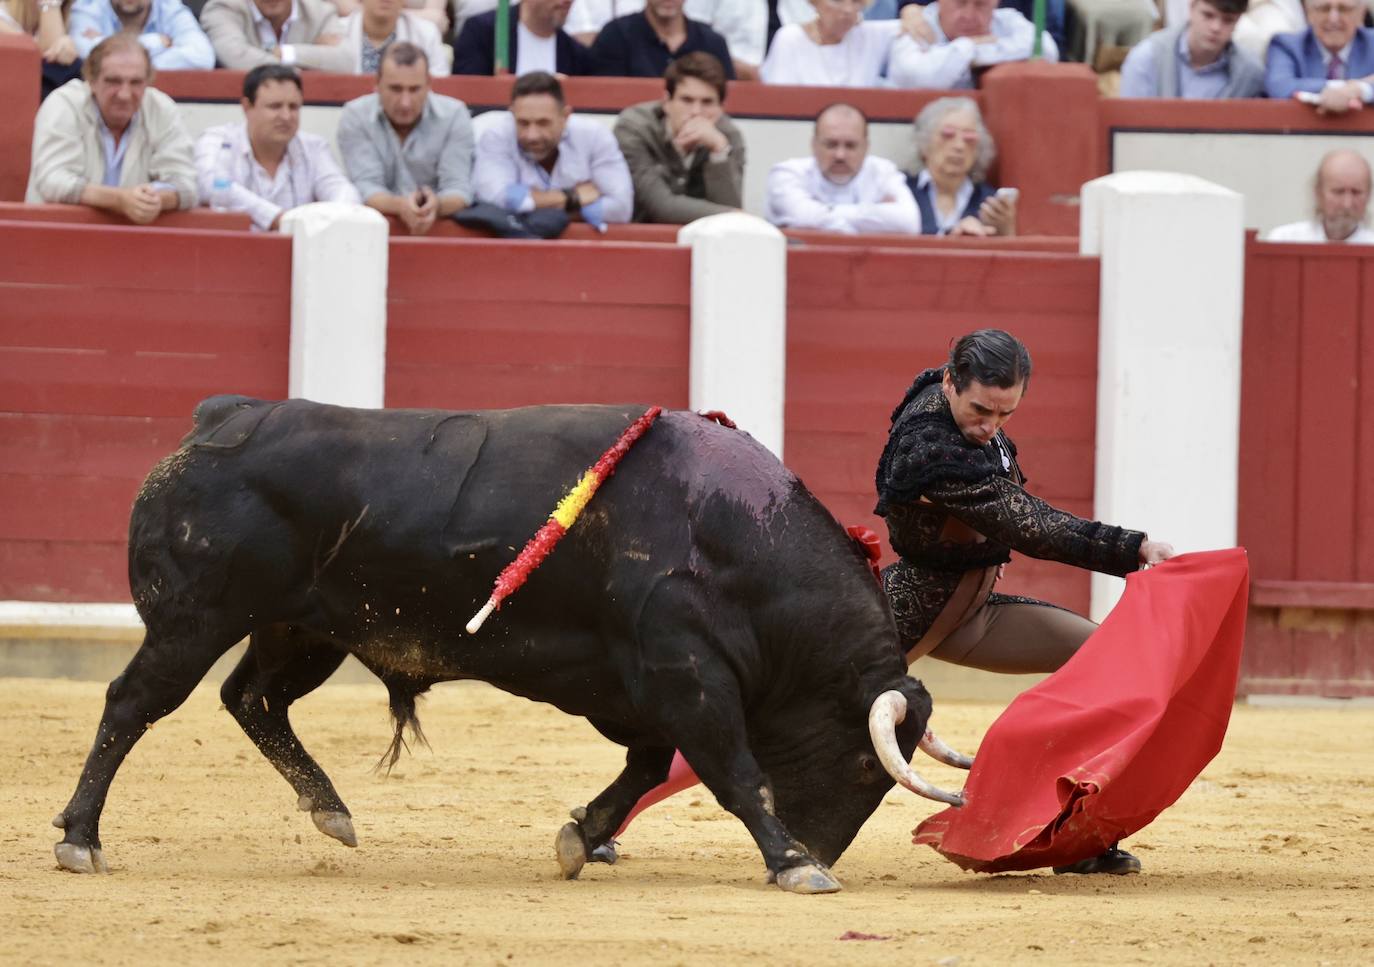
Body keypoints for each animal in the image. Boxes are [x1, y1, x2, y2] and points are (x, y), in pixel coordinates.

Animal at [50, 395, 956, 890]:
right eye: (861, 765)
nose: (823, 846)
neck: (734, 536)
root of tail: (222, 415)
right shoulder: (686, 673)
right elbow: (735, 772)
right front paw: (792, 864)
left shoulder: (639, 687)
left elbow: (647, 767)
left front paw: (580, 837)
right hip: (195, 618)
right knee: (133, 703)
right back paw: (79, 838)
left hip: (301, 628)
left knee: (253, 697)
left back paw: (331, 808)